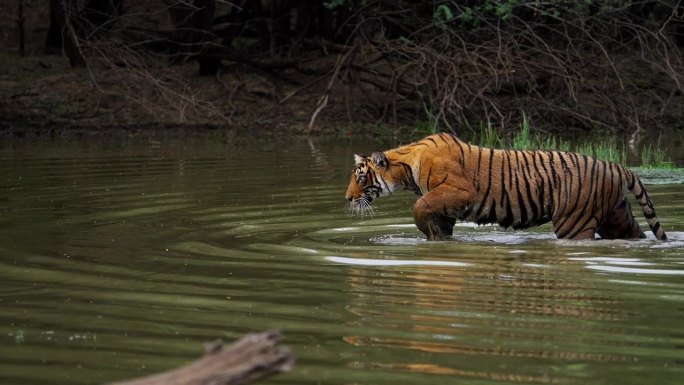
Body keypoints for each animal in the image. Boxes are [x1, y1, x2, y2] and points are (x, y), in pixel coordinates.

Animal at [344, 132, 664, 240]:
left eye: (360, 177)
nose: (347, 198)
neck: (406, 168)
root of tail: (616, 165)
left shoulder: (458, 191)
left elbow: (420, 205)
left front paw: (426, 229)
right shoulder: (447, 206)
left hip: (575, 222)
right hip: (617, 218)